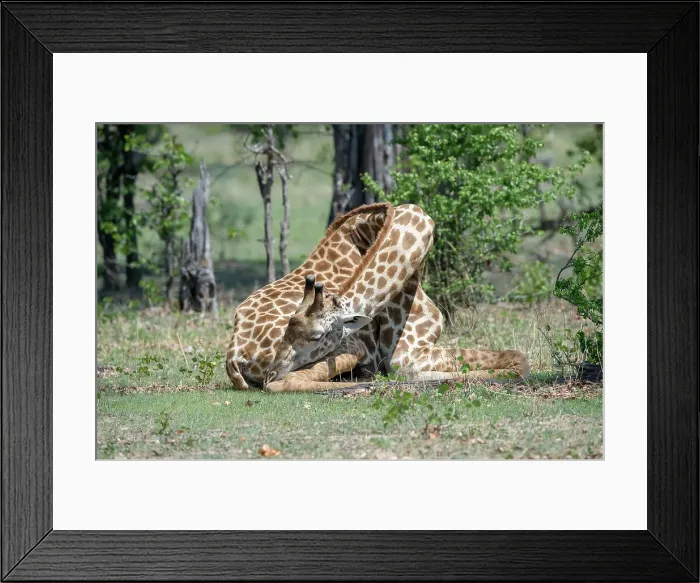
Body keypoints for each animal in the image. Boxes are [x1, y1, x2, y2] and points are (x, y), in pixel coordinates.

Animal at [226, 201, 529, 392]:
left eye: (315, 336)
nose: (273, 370)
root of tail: (235, 357)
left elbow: (517, 357)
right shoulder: (406, 354)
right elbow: (517, 361)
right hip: (354, 347)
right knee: (287, 383)